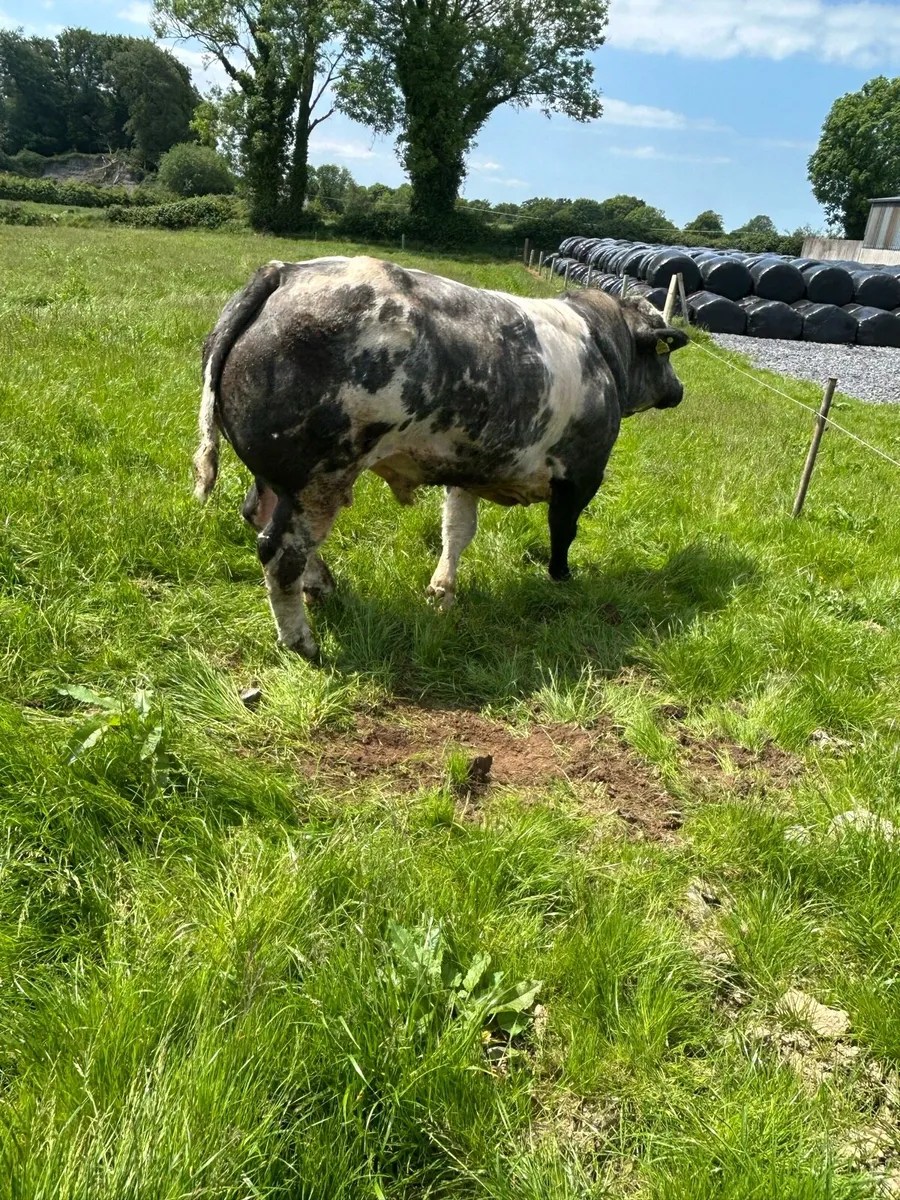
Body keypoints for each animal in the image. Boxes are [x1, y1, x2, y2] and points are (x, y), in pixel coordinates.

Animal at [193, 255, 689, 659]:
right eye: (664, 357)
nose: (679, 389)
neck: (602, 349)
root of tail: (284, 272)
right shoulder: (582, 474)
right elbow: (563, 532)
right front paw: (561, 579)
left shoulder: (467, 466)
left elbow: (457, 531)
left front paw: (442, 592)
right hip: (318, 478)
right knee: (280, 553)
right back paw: (302, 641)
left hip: (279, 477)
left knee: (257, 514)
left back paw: (322, 586)